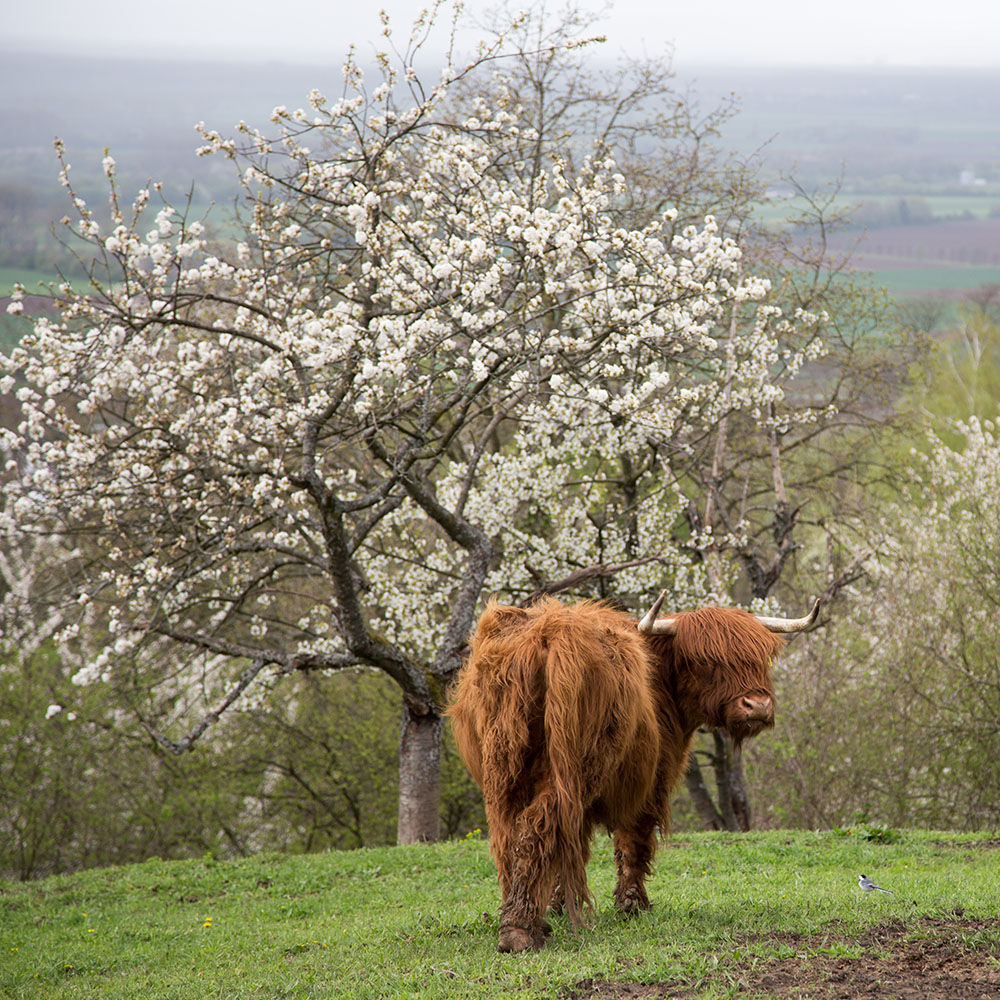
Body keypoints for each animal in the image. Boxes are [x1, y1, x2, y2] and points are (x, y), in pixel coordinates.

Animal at [450, 592, 816, 952]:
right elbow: (633, 844)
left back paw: (519, 918)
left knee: (508, 836)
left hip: (503, 771)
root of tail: (551, 631)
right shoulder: (651, 783)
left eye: (760, 659)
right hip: (572, 771)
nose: (758, 706)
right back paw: (520, 931)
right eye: (706, 660)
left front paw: (557, 906)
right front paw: (632, 905)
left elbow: (573, 848)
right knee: (536, 826)